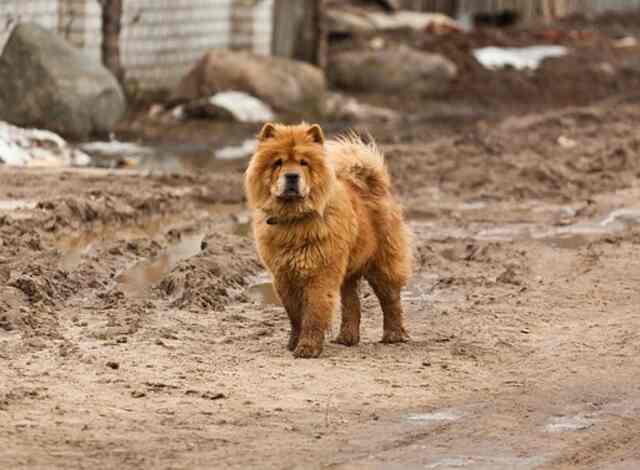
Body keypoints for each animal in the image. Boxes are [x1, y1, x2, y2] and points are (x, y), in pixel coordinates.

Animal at [242, 123, 412, 358]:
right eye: (278, 162)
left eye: (303, 162)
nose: (292, 176)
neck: (294, 220)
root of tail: (374, 187)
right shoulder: (284, 276)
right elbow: (295, 314)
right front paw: (293, 343)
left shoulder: (320, 273)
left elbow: (314, 312)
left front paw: (307, 348)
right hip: (348, 271)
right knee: (352, 304)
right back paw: (346, 339)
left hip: (382, 265)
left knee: (391, 300)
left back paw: (393, 335)